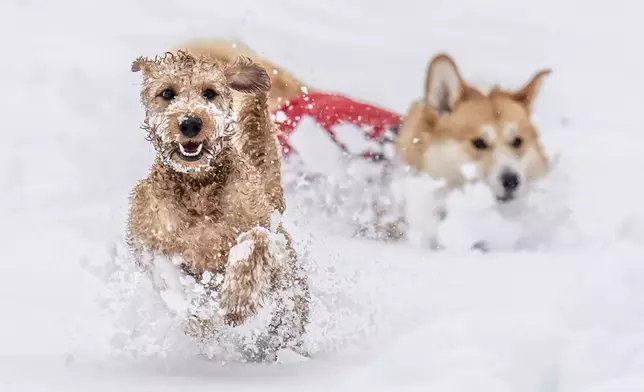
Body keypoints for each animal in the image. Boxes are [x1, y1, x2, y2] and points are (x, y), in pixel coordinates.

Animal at [125, 50, 310, 356]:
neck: (198, 189)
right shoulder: (149, 236)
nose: (190, 123)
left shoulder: (270, 237)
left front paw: (237, 299)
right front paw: (196, 310)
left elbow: (255, 240)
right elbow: (167, 271)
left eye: (209, 93)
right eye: (167, 93)